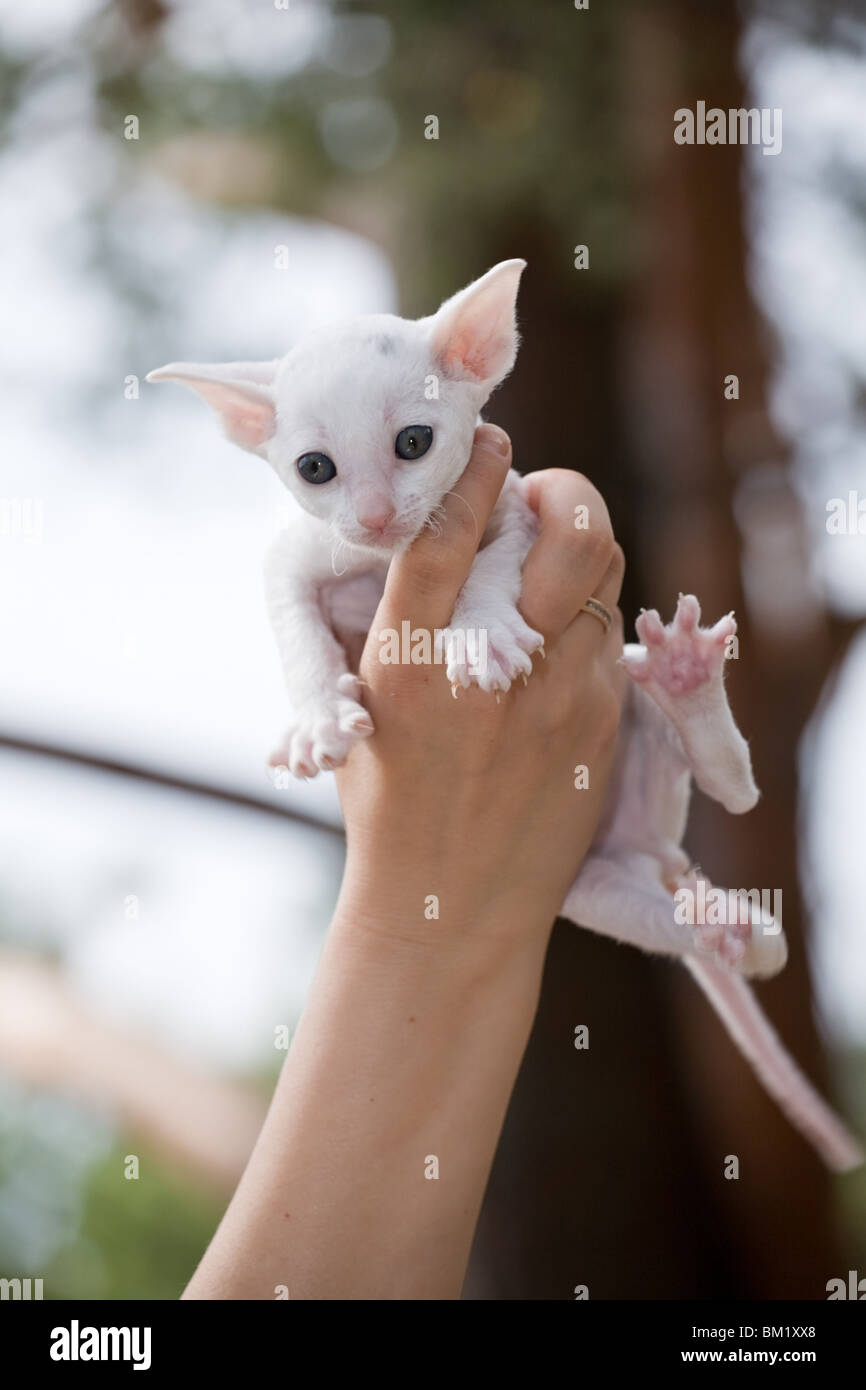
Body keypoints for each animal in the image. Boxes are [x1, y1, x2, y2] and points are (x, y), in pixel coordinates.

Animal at [147, 258, 861, 1173]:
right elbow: (294, 617)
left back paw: (688, 684)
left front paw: (479, 629)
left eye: (413, 443)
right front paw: (315, 715)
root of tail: (648, 845)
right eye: (314, 467)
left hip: (646, 730)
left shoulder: (517, 508)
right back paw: (722, 927)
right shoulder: (298, 553)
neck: (384, 562)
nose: (374, 518)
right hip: (593, 884)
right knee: (687, 915)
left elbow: (495, 563)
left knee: (736, 792)